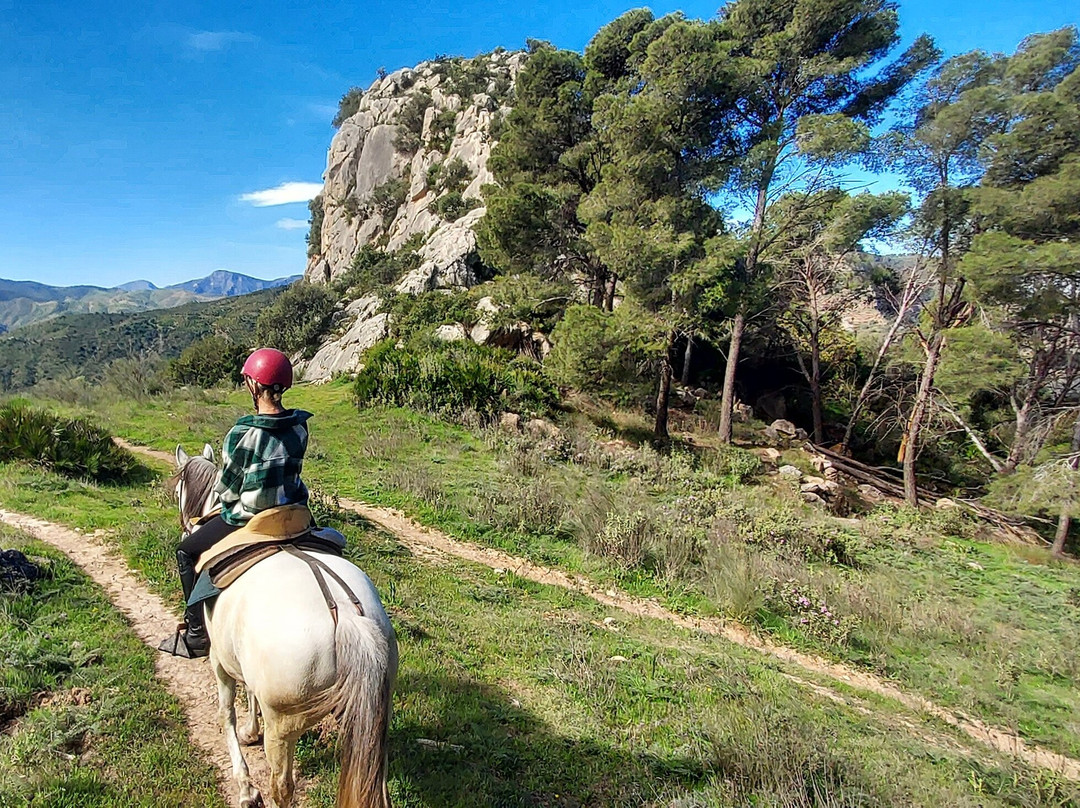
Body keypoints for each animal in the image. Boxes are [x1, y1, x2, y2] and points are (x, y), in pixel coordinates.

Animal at [172, 444, 398, 808]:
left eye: (178, 490)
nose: (185, 526)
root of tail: (347, 617)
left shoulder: (219, 660)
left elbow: (225, 713)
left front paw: (246, 787)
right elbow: (249, 693)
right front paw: (251, 731)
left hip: (284, 725)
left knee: (282, 786)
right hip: (375, 718)